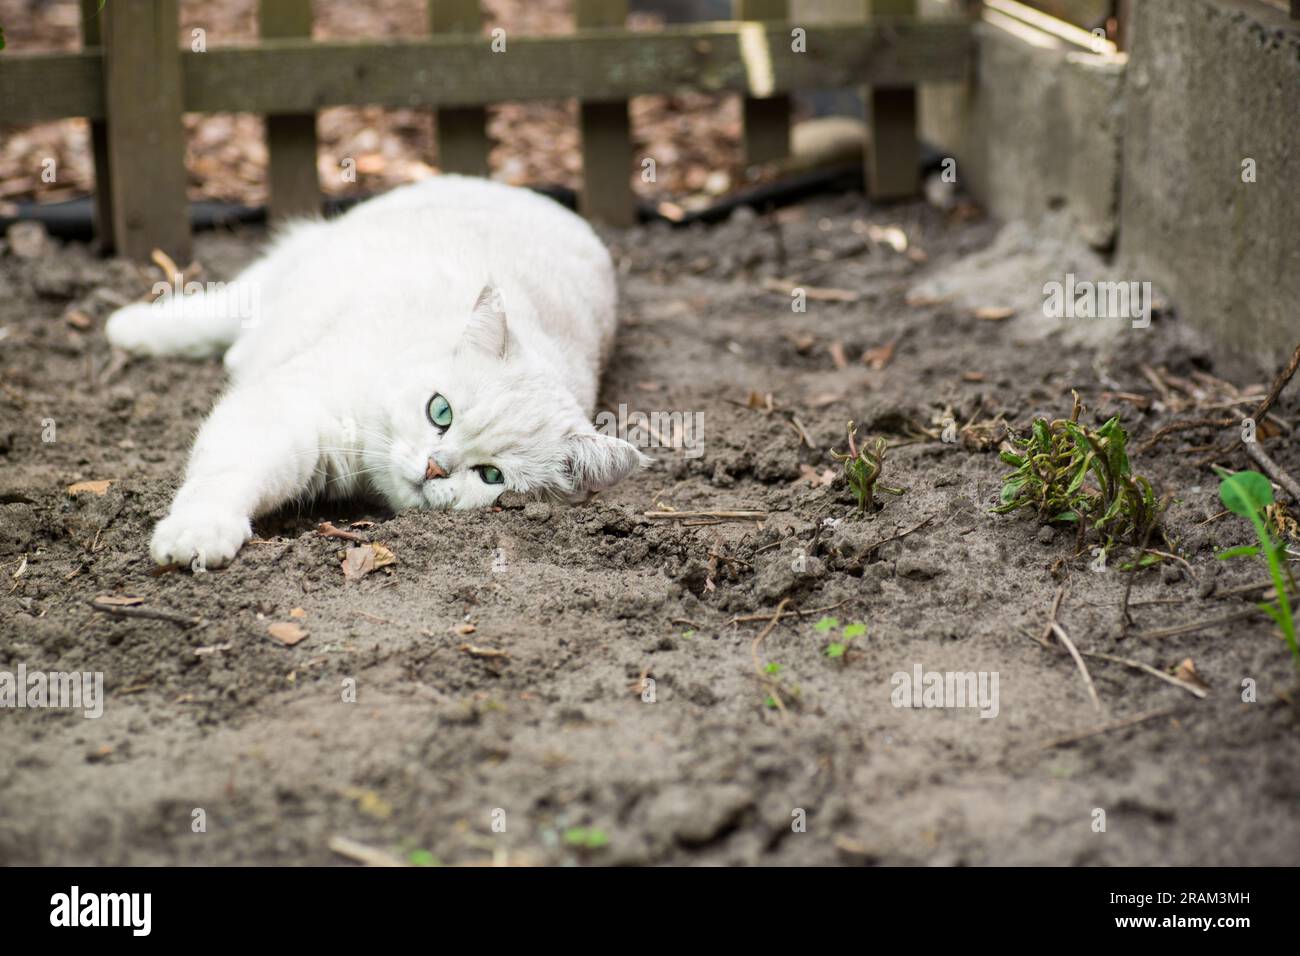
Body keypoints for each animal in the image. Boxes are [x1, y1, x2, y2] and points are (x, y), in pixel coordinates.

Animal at [107, 174, 650, 567]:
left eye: (492, 476)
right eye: (440, 412)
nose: (435, 468)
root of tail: (528, 191)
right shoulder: (284, 409)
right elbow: (228, 473)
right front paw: (199, 532)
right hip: (295, 258)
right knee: (223, 309)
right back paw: (130, 328)